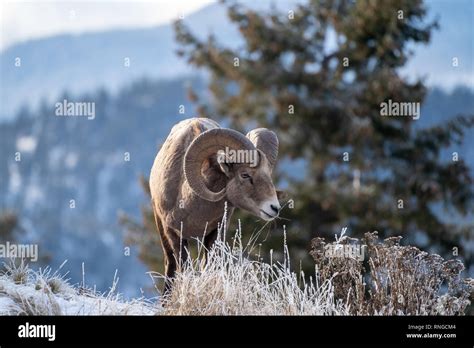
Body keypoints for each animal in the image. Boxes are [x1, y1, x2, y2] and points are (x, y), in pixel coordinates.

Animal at [150, 118, 280, 292]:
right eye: (245, 175)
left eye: (268, 175)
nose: (274, 208)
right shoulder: (173, 233)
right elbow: (182, 267)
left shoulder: (216, 232)